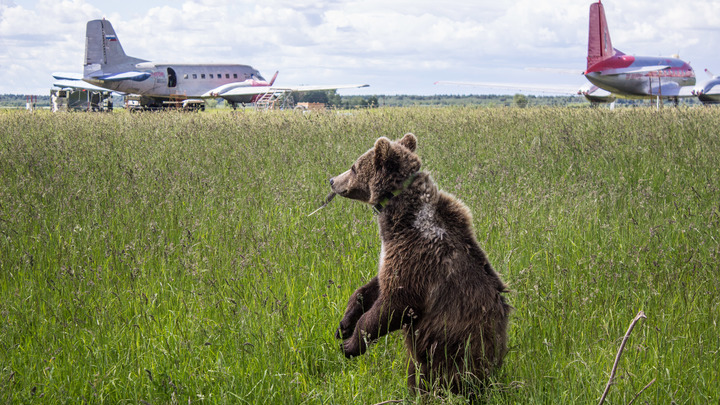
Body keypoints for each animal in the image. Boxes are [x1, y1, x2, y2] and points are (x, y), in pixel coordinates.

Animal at [332, 133, 512, 394]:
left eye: (354, 167)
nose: (332, 180)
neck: (399, 216)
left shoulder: (419, 259)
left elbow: (396, 302)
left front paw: (351, 344)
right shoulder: (394, 254)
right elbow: (375, 285)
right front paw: (344, 324)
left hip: (455, 347)